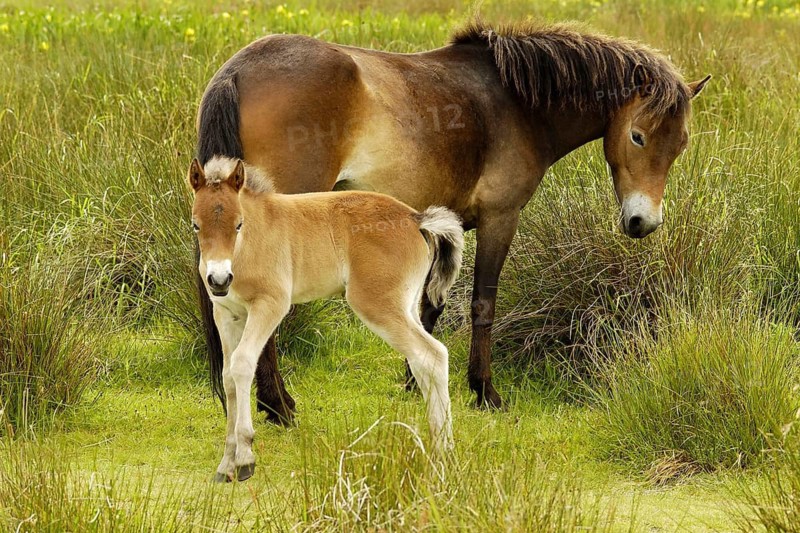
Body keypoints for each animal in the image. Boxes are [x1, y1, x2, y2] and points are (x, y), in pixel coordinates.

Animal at [188, 156, 463, 481]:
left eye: (239, 224)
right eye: (195, 225)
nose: (219, 280)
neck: (247, 248)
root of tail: (416, 218)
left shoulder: (270, 305)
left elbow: (243, 364)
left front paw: (244, 460)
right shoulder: (226, 314)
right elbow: (228, 376)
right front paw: (226, 464)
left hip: (378, 305)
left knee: (432, 354)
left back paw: (443, 454)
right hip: (405, 305)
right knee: (424, 361)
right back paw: (438, 450)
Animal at [194, 21, 711, 420]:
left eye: (681, 143)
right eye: (638, 136)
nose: (643, 222)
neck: (515, 102)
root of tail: (238, 70)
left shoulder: (446, 227)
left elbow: (429, 308)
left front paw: (412, 381)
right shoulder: (501, 219)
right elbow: (483, 303)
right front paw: (484, 391)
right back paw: (278, 406)